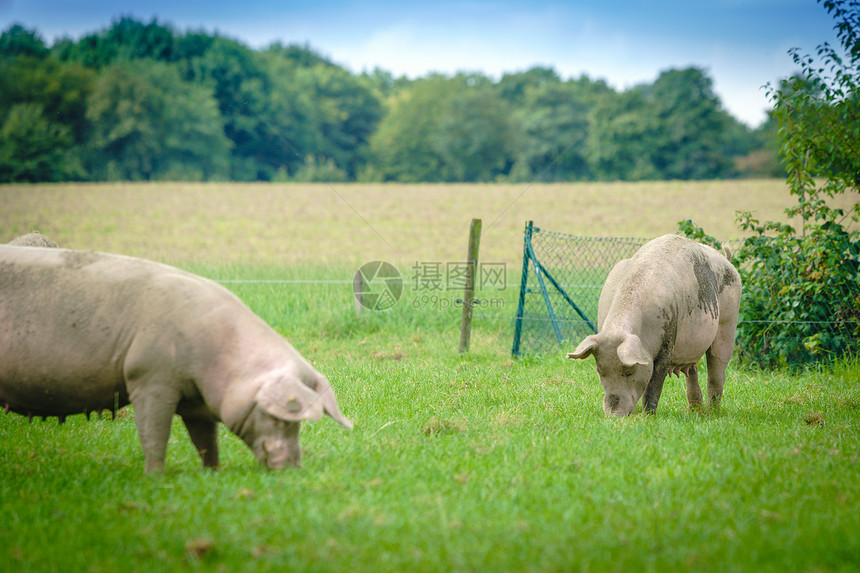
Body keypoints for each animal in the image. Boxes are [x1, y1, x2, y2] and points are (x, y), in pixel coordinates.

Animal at [0, 244, 352, 472]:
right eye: (284, 415)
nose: (293, 468)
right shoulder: (149, 377)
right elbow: (155, 433)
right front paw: (154, 476)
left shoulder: (198, 402)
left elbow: (206, 439)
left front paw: (213, 472)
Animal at [568, 232, 744, 416]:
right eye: (600, 370)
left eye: (629, 370)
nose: (614, 415)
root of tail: (727, 260)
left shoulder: (667, 338)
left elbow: (655, 383)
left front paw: (648, 416)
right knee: (692, 371)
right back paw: (694, 412)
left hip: (728, 322)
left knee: (717, 372)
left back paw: (712, 413)